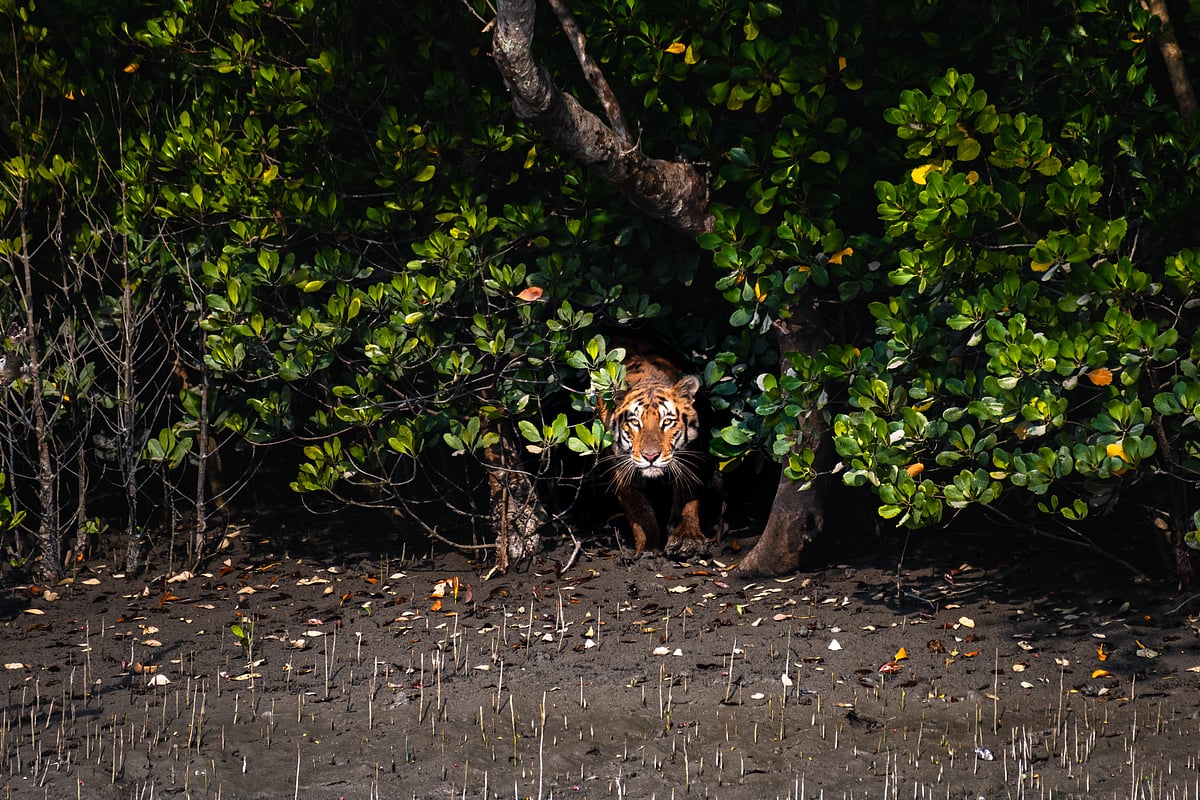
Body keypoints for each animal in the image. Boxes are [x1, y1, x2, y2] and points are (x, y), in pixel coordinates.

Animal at [600, 342, 710, 557]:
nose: (650, 456)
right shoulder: (623, 470)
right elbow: (640, 510)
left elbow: (687, 496)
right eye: (635, 422)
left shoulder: (690, 456)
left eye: (667, 422)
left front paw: (687, 538)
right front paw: (649, 549)